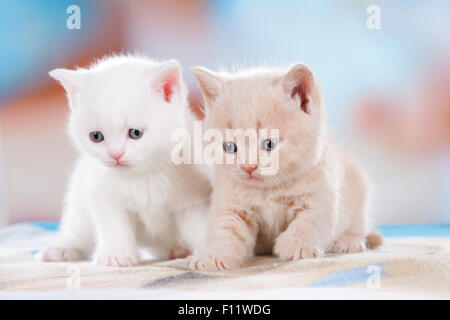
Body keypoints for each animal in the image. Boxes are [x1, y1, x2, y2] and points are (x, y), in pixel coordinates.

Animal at [38, 56, 211, 266]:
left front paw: (211, 252)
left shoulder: (194, 199)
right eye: (96, 136)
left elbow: (202, 224)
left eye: (135, 133)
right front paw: (115, 254)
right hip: (79, 201)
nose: (115, 154)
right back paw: (61, 248)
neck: (145, 173)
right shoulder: (103, 193)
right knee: (77, 229)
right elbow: (113, 224)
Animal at [188, 63, 382, 270]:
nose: (248, 167)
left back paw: (349, 241)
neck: (268, 191)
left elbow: (310, 221)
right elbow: (224, 229)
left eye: (269, 144)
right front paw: (213, 255)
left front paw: (296, 245)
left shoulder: (321, 194)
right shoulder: (230, 203)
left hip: (358, 186)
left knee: (359, 221)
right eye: (229, 147)